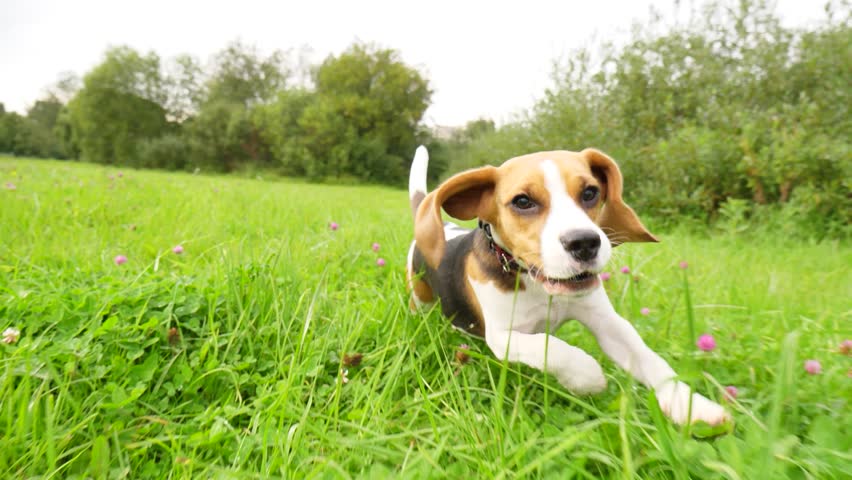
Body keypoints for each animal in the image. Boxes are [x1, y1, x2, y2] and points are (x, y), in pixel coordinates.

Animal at [410, 147, 728, 428]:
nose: (585, 242)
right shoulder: (502, 336)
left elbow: (651, 361)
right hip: (419, 298)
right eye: (522, 201)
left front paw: (690, 405)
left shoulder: (609, 323)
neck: (538, 285)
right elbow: (550, 347)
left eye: (590, 193)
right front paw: (588, 376)